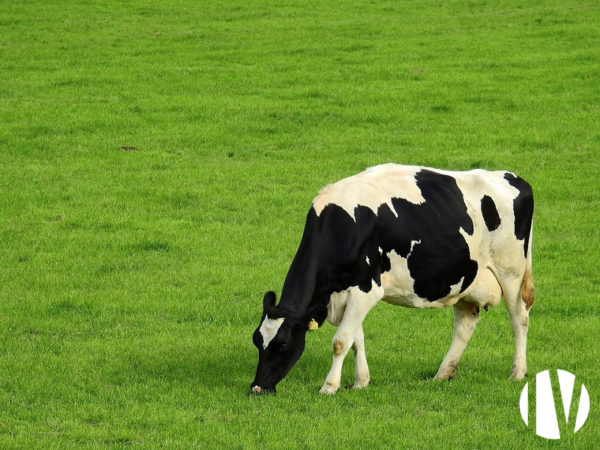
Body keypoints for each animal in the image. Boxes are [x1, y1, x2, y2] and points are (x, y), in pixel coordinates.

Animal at [248, 164, 536, 394]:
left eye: (283, 344)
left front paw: (329, 387)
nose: (257, 387)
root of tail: (514, 177)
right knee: (465, 326)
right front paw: (361, 382)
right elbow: (356, 339)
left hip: (511, 271)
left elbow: (341, 341)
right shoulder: (350, 292)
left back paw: (517, 372)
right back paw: (442, 374)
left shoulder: (366, 289)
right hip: (466, 280)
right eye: (256, 340)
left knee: (519, 319)